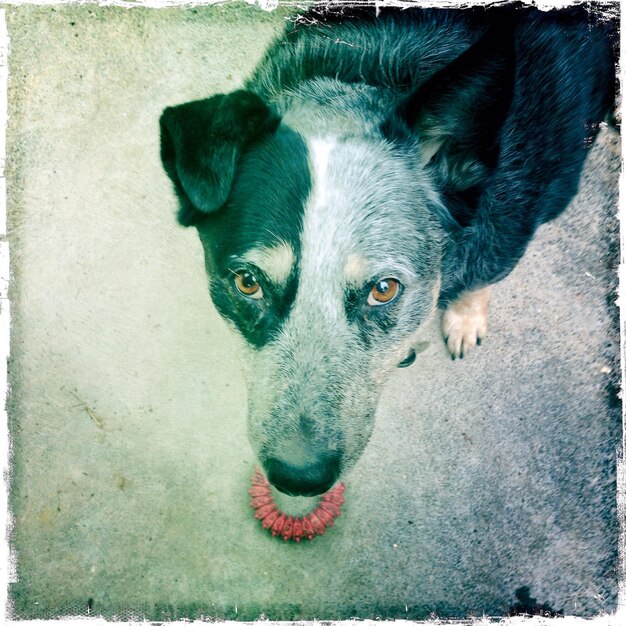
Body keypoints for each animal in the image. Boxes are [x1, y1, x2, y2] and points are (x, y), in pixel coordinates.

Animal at [157, 2, 616, 494]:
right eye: (247, 283)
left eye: (384, 289)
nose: (299, 478)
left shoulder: (515, 228)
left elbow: (481, 279)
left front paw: (465, 317)